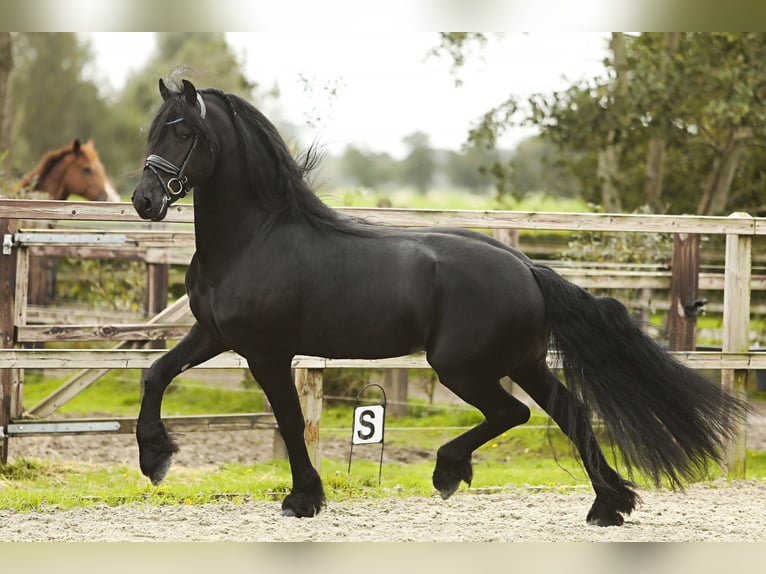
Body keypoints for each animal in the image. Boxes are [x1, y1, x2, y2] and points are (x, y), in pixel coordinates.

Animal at [132, 80, 752, 528]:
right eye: (152, 131)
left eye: (184, 133)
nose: (144, 201)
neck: (254, 239)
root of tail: (527, 269)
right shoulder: (213, 335)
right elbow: (155, 373)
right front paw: (154, 459)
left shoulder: (266, 352)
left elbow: (287, 421)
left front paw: (303, 499)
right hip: (521, 361)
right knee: (569, 412)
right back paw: (608, 506)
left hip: (461, 366)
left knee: (513, 414)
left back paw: (450, 472)